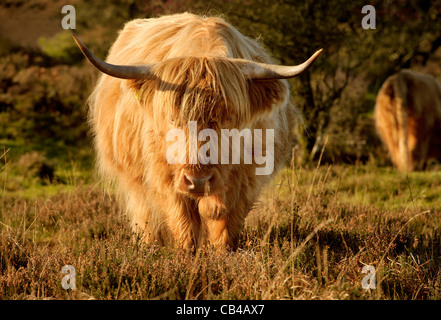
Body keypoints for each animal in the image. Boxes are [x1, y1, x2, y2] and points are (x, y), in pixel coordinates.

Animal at [73, 12, 320, 249]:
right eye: (173, 119)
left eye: (228, 118)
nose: (198, 181)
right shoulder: (166, 179)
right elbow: (185, 225)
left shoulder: (245, 180)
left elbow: (225, 226)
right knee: (146, 216)